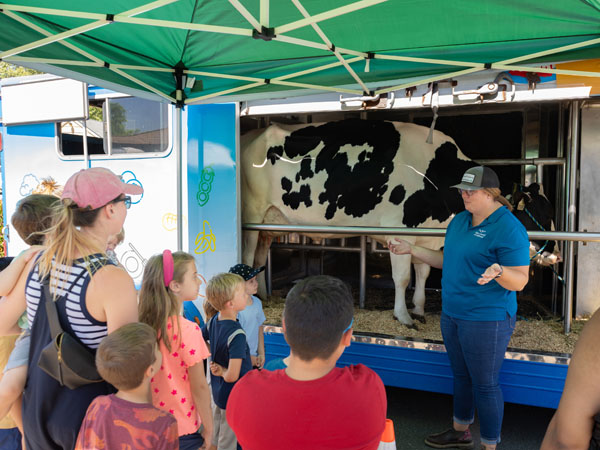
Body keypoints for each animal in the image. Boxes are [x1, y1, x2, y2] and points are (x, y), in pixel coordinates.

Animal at [239, 118, 474, 326]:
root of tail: (249, 135)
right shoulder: (399, 229)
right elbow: (403, 277)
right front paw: (403, 316)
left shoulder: (426, 235)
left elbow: (423, 273)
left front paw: (418, 310)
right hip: (252, 215)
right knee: (248, 256)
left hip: (268, 225)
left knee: (260, 258)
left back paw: (262, 295)